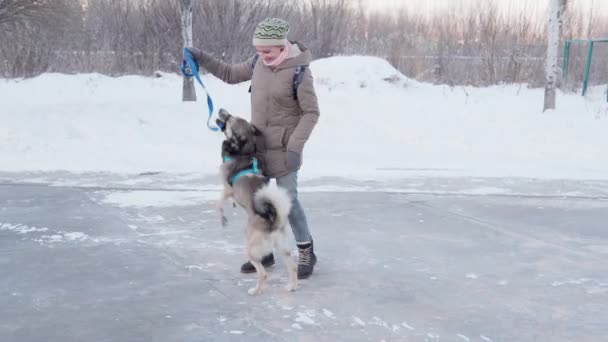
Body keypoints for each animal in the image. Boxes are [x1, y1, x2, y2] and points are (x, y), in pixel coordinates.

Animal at [216, 109, 296, 294]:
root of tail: (273, 222)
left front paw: (222, 218)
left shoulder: (227, 189)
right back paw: (291, 286)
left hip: (250, 248)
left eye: (231, 119)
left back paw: (255, 290)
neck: (245, 152)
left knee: (263, 273)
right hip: (282, 247)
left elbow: (217, 203)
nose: (221, 110)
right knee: (292, 266)